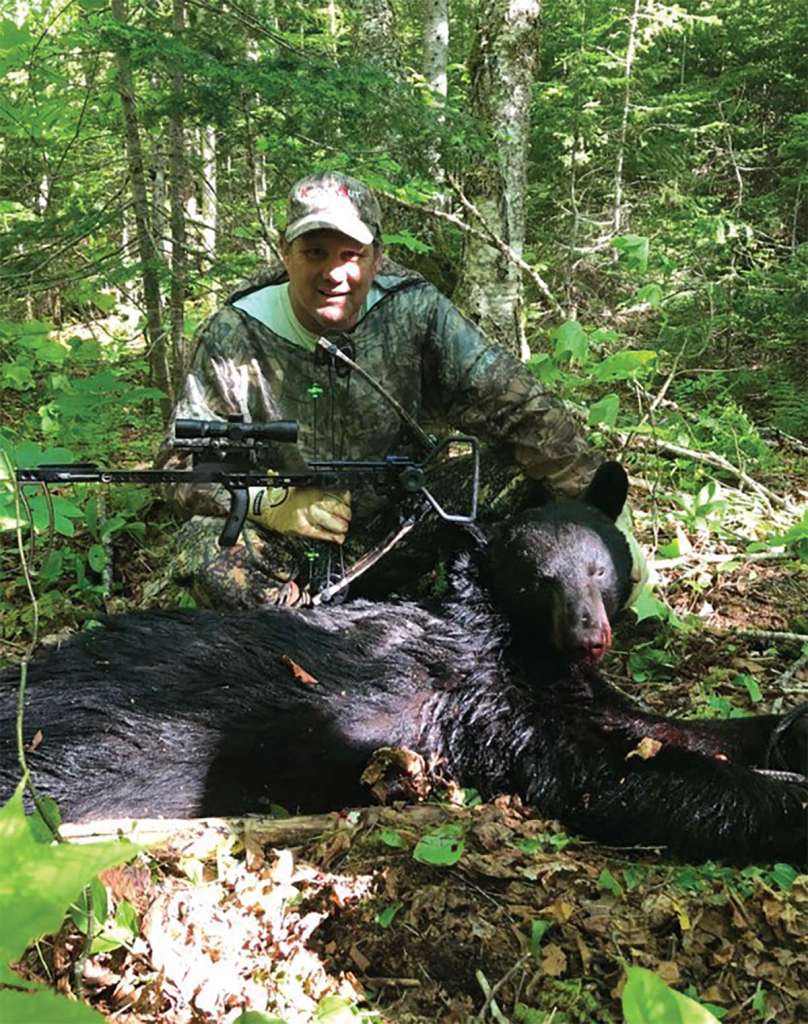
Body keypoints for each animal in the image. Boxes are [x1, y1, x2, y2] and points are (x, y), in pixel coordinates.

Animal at [0, 462, 805, 865]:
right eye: (539, 578)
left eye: (598, 567)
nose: (589, 637)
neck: (512, 643)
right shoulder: (492, 711)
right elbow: (614, 776)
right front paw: (791, 799)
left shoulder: (570, 691)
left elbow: (664, 727)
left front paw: (787, 727)